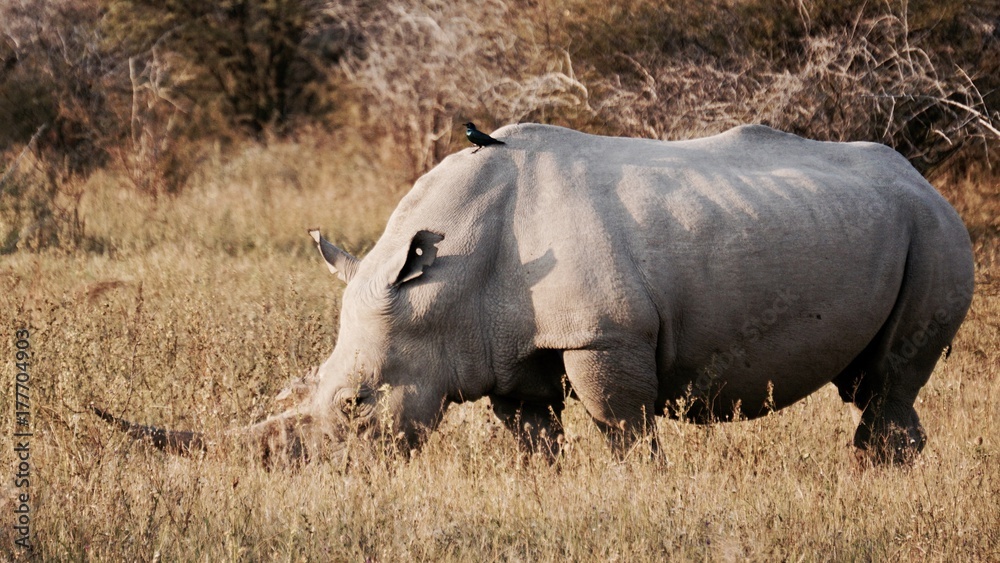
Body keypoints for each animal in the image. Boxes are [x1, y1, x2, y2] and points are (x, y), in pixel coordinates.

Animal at [96, 124, 974, 465]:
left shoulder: (603, 333)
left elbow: (624, 429)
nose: (314, 471)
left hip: (934, 233)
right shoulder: (502, 346)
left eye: (353, 405)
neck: (443, 283)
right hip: (890, 224)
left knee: (889, 382)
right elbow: (533, 436)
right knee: (874, 387)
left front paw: (637, 490)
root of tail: (927, 182)